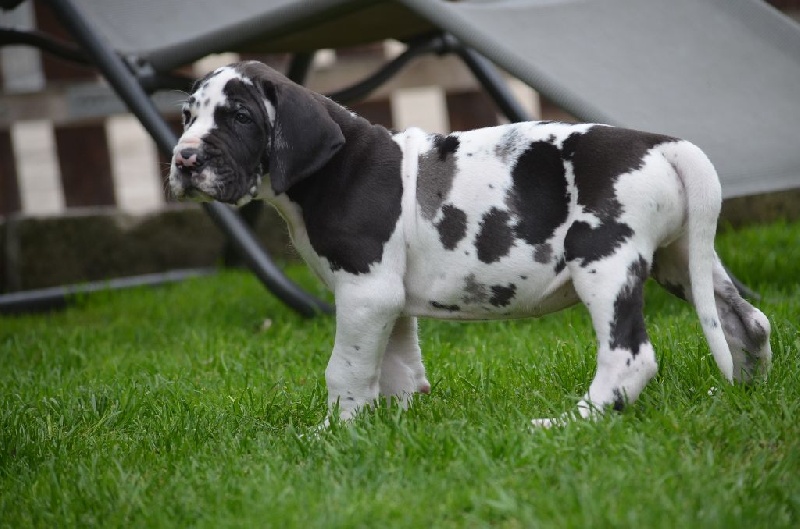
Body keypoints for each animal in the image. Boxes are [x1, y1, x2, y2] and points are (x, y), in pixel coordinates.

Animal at [170, 59, 776, 426]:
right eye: (187, 115)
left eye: (240, 116)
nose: (184, 159)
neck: (333, 166)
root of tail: (661, 143)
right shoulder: (387, 302)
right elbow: (395, 367)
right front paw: (391, 426)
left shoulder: (364, 295)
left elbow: (345, 370)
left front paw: (333, 431)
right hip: (684, 260)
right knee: (748, 324)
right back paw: (742, 395)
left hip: (603, 263)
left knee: (630, 357)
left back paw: (570, 421)